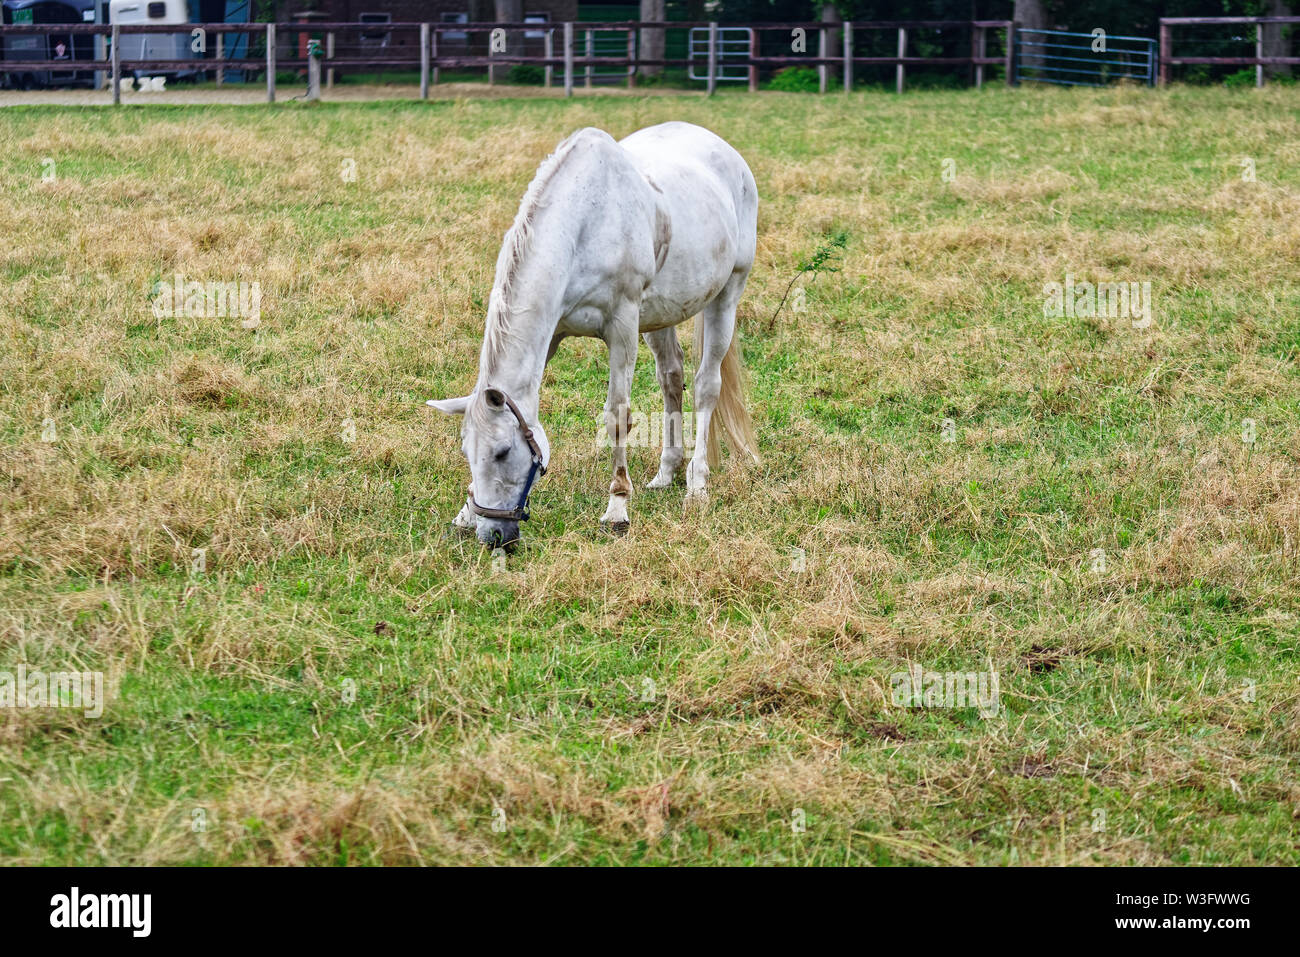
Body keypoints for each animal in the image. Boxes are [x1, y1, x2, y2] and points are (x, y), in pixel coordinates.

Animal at [431, 121, 759, 546]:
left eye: (503, 451)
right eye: (466, 453)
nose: (494, 536)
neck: (585, 221)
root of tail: (728, 155)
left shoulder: (622, 326)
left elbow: (617, 416)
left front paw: (617, 507)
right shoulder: (552, 333)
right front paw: (465, 513)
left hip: (726, 295)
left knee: (706, 387)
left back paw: (696, 486)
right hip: (661, 315)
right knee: (672, 378)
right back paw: (666, 472)